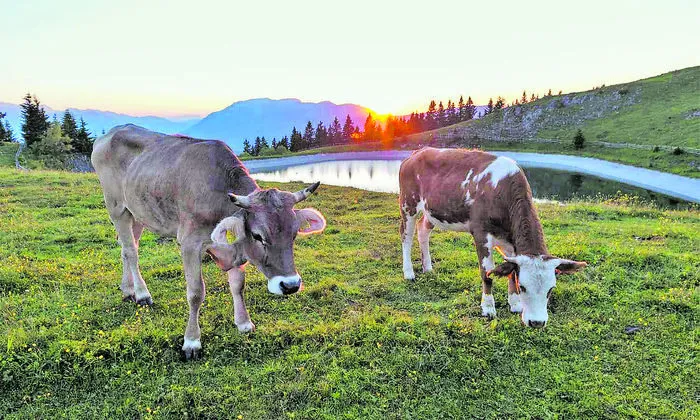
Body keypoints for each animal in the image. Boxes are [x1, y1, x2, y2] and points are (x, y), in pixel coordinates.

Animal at [91, 125, 326, 359]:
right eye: (258, 235)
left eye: (294, 234)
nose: (290, 285)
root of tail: (112, 132)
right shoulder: (189, 243)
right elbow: (196, 292)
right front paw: (191, 341)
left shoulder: (234, 244)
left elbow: (238, 284)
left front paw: (243, 323)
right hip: (116, 208)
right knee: (131, 251)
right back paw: (141, 294)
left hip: (138, 212)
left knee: (127, 247)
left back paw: (128, 289)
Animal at [399, 147, 587, 328]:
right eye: (523, 287)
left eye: (551, 289)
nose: (537, 323)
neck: (501, 192)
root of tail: (417, 152)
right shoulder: (481, 233)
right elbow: (487, 274)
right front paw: (488, 308)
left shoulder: (511, 242)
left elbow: (511, 272)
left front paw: (515, 304)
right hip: (408, 204)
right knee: (406, 236)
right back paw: (409, 272)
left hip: (432, 211)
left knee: (423, 230)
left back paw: (428, 267)